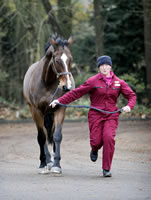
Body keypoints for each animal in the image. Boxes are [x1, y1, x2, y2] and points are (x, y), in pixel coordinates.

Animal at [23, 36, 74, 174]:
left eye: (70, 59)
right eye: (57, 60)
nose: (66, 87)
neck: (46, 82)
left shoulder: (60, 108)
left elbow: (57, 136)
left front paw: (57, 164)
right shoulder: (37, 111)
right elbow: (42, 137)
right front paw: (46, 163)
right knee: (42, 136)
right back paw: (45, 162)